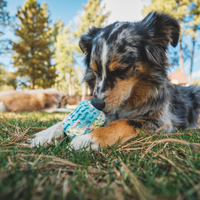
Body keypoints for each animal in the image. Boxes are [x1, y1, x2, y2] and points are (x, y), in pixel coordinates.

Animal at [28, 12, 200, 150]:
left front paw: (89, 139)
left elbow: (125, 122)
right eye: (95, 70)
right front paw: (48, 133)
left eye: (122, 70)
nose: (96, 104)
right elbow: (63, 120)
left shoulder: (162, 121)